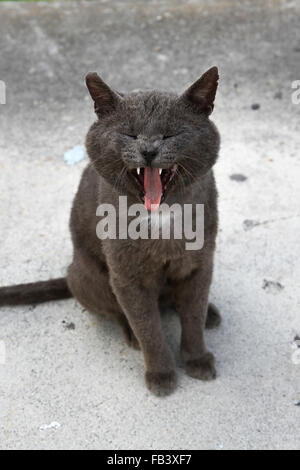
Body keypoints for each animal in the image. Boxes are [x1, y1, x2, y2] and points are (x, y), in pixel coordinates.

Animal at [0, 67, 220, 396]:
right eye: (129, 133)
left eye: (170, 133)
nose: (148, 150)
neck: (161, 217)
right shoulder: (127, 276)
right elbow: (148, 327)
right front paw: (161, 375)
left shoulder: (199, 263)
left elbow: (192, 315)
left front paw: (198, 360)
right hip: (86, 276)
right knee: (116, 310)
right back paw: (130, 334)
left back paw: (211, 314)